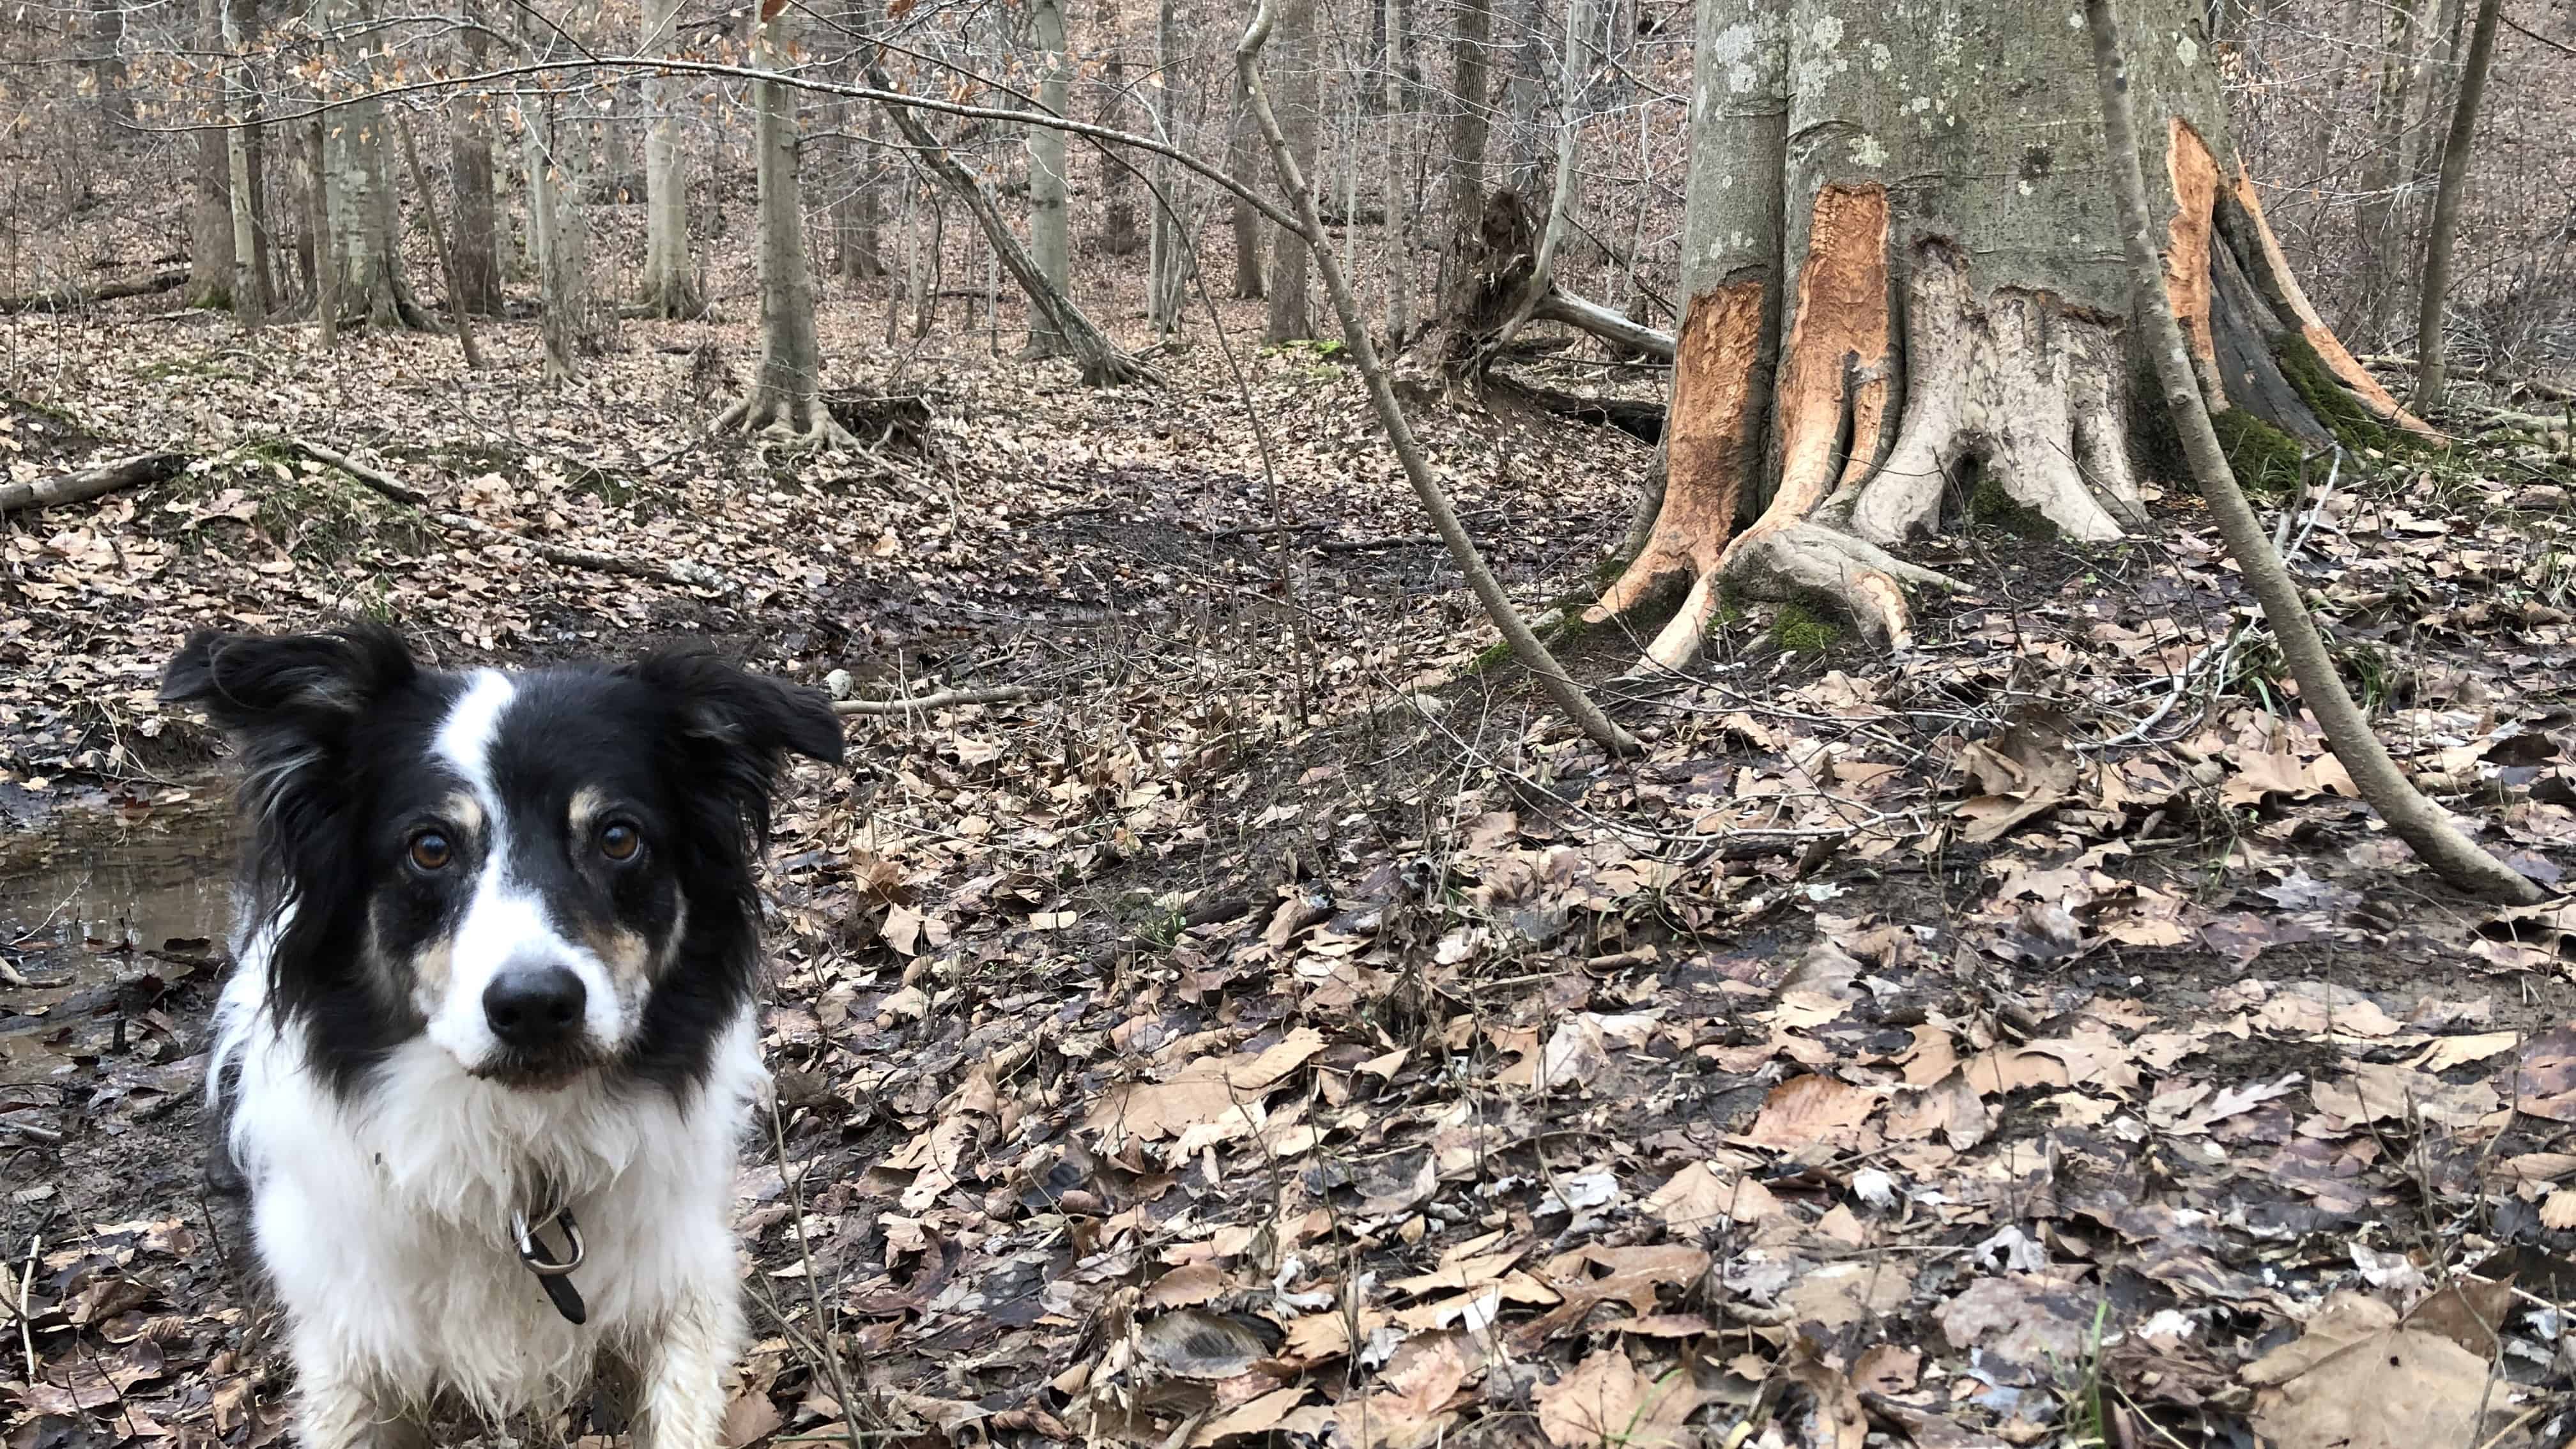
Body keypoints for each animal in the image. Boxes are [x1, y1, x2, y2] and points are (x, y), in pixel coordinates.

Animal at [164, 624, 845, 1443]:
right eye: (430, 848)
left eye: (618, 838)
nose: (535, 1006)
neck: (519, 1158)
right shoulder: (351, 1346)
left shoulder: (680, 1289)